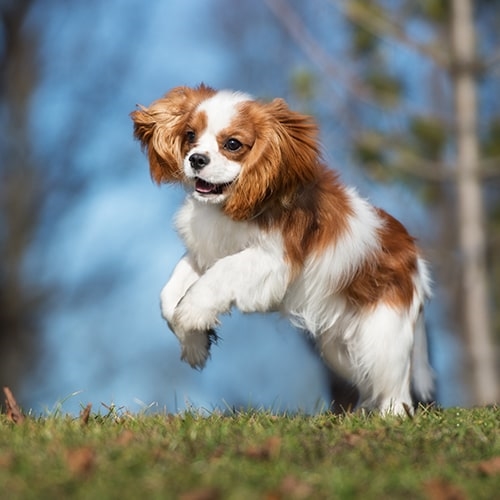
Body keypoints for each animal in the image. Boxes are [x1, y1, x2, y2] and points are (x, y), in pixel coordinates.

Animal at [132, 85, 434, 414]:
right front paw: (194, 343)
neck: (230, 206)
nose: (196, 159)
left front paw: (190, 314)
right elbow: (169, 294)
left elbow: (217, 277)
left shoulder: (271, 260)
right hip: (339, 348)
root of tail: (415, 259)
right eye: (190, 135)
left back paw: (390, 416)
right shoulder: (206, 252)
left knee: (395, 387)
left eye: (233, 144)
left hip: (381, 334)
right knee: (368, 382)